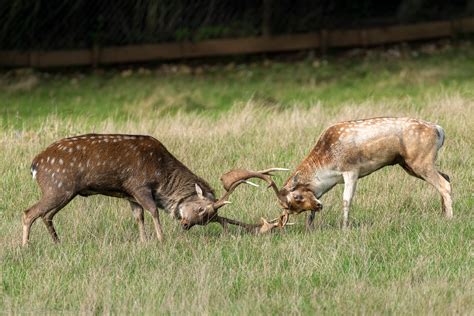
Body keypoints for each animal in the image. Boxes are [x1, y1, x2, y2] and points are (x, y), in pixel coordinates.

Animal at [23, 135, 286, 246]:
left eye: (207, 219)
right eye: (202, 209)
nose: (185, 225)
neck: (162, 175)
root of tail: (35, 165)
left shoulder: (129, 194)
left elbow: (138, 216)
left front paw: (144, 241)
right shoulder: (138, 185)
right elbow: (153, 211)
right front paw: (160, 240)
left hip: (64, 192)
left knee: (45, 215)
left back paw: (57, 243)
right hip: (58, 187)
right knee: (29, 213)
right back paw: (25, 247)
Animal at [221, 117, 452, 231]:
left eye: (297, 197)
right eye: (295, 209)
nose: (318, 206)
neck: (327, 165)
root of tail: (439, 130)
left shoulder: (351, 170)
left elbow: (346, 199)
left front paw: (344, 226)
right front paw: (310, 227)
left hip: (420, 161)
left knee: (444, 184)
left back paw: (450, 219)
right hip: (410, 164)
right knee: (447, 177)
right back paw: (442, 213)